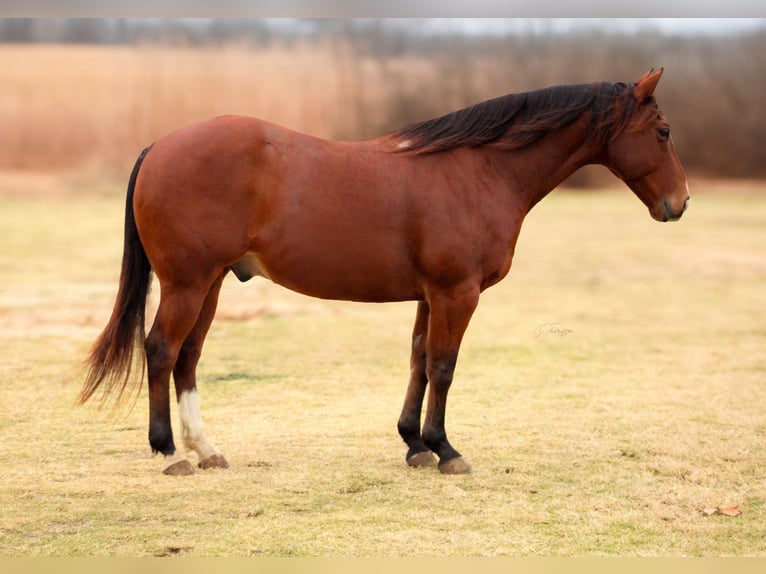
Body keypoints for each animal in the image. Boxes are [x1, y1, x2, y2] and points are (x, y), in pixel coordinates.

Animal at [82, 68, 688, 476]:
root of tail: (161, 145)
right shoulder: (457, 293)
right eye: (662, 131)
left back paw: (205, 449)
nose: (679, 204)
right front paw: (444, 448)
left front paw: (414, 444)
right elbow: (443, 365)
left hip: (208, 285)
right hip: (187, 283)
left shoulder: (430, 295)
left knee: (187, 357)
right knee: (161, 349)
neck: (481, 170)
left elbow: (418, 360)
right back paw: (167, 452)